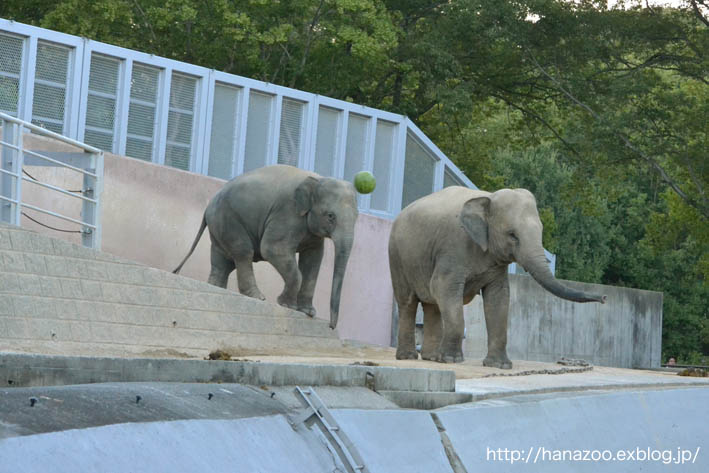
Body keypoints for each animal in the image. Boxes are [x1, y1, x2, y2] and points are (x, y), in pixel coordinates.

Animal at [172, 163, 360, 328]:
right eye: (330, 216)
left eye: (357, 217)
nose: (332, 326)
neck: (318, 178)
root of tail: (208, 206)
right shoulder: (287, 214)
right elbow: (272, 249)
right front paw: (286, 305)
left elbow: (313, 259)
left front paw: (308, 312)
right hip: (229, 220)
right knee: (243, 253)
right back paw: (258, 297)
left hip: (219, 226)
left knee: (223, 262)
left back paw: (218, 288)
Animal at [388, 186, 604, 366]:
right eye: (512, 235)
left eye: (542, 231)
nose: (603, 298)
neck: (488, 196)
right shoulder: (452, 249)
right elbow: (443, 287)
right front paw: (451, 361)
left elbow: (498, 297)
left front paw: (499, 365)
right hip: (397, 257)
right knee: (408, 302)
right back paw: (409, 357)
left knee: (432, 305)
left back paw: (431, 358)